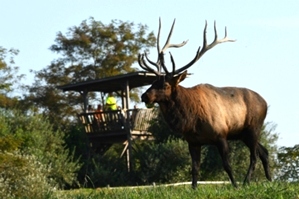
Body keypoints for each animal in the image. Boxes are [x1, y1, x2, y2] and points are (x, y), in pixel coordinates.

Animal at [139, 19, 274, 188]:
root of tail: (265, 102)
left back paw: (245, 182)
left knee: (254, 155)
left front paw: (235, 186)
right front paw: (194, 188)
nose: (144, 96)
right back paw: (270, 179)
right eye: (152, 82)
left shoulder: (221, 135)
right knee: (264, 152)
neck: (190, 120)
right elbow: (195, 169)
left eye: (165, 85)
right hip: (243, 134)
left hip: (254, 127)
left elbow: (227, 165)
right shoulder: (193, 142)